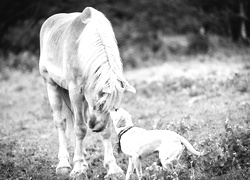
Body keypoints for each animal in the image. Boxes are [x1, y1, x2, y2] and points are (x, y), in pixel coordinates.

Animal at [38, 6, 136, 179]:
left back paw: (83, 159)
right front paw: (77, 169)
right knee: (60, 122)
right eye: (98, 103)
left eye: (115, 108)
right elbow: (80, 128)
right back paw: (64, 164)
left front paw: (113, 168)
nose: (95, 127)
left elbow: (105, 131)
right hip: (51, 85)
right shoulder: (75, 91)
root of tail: (49, 21)